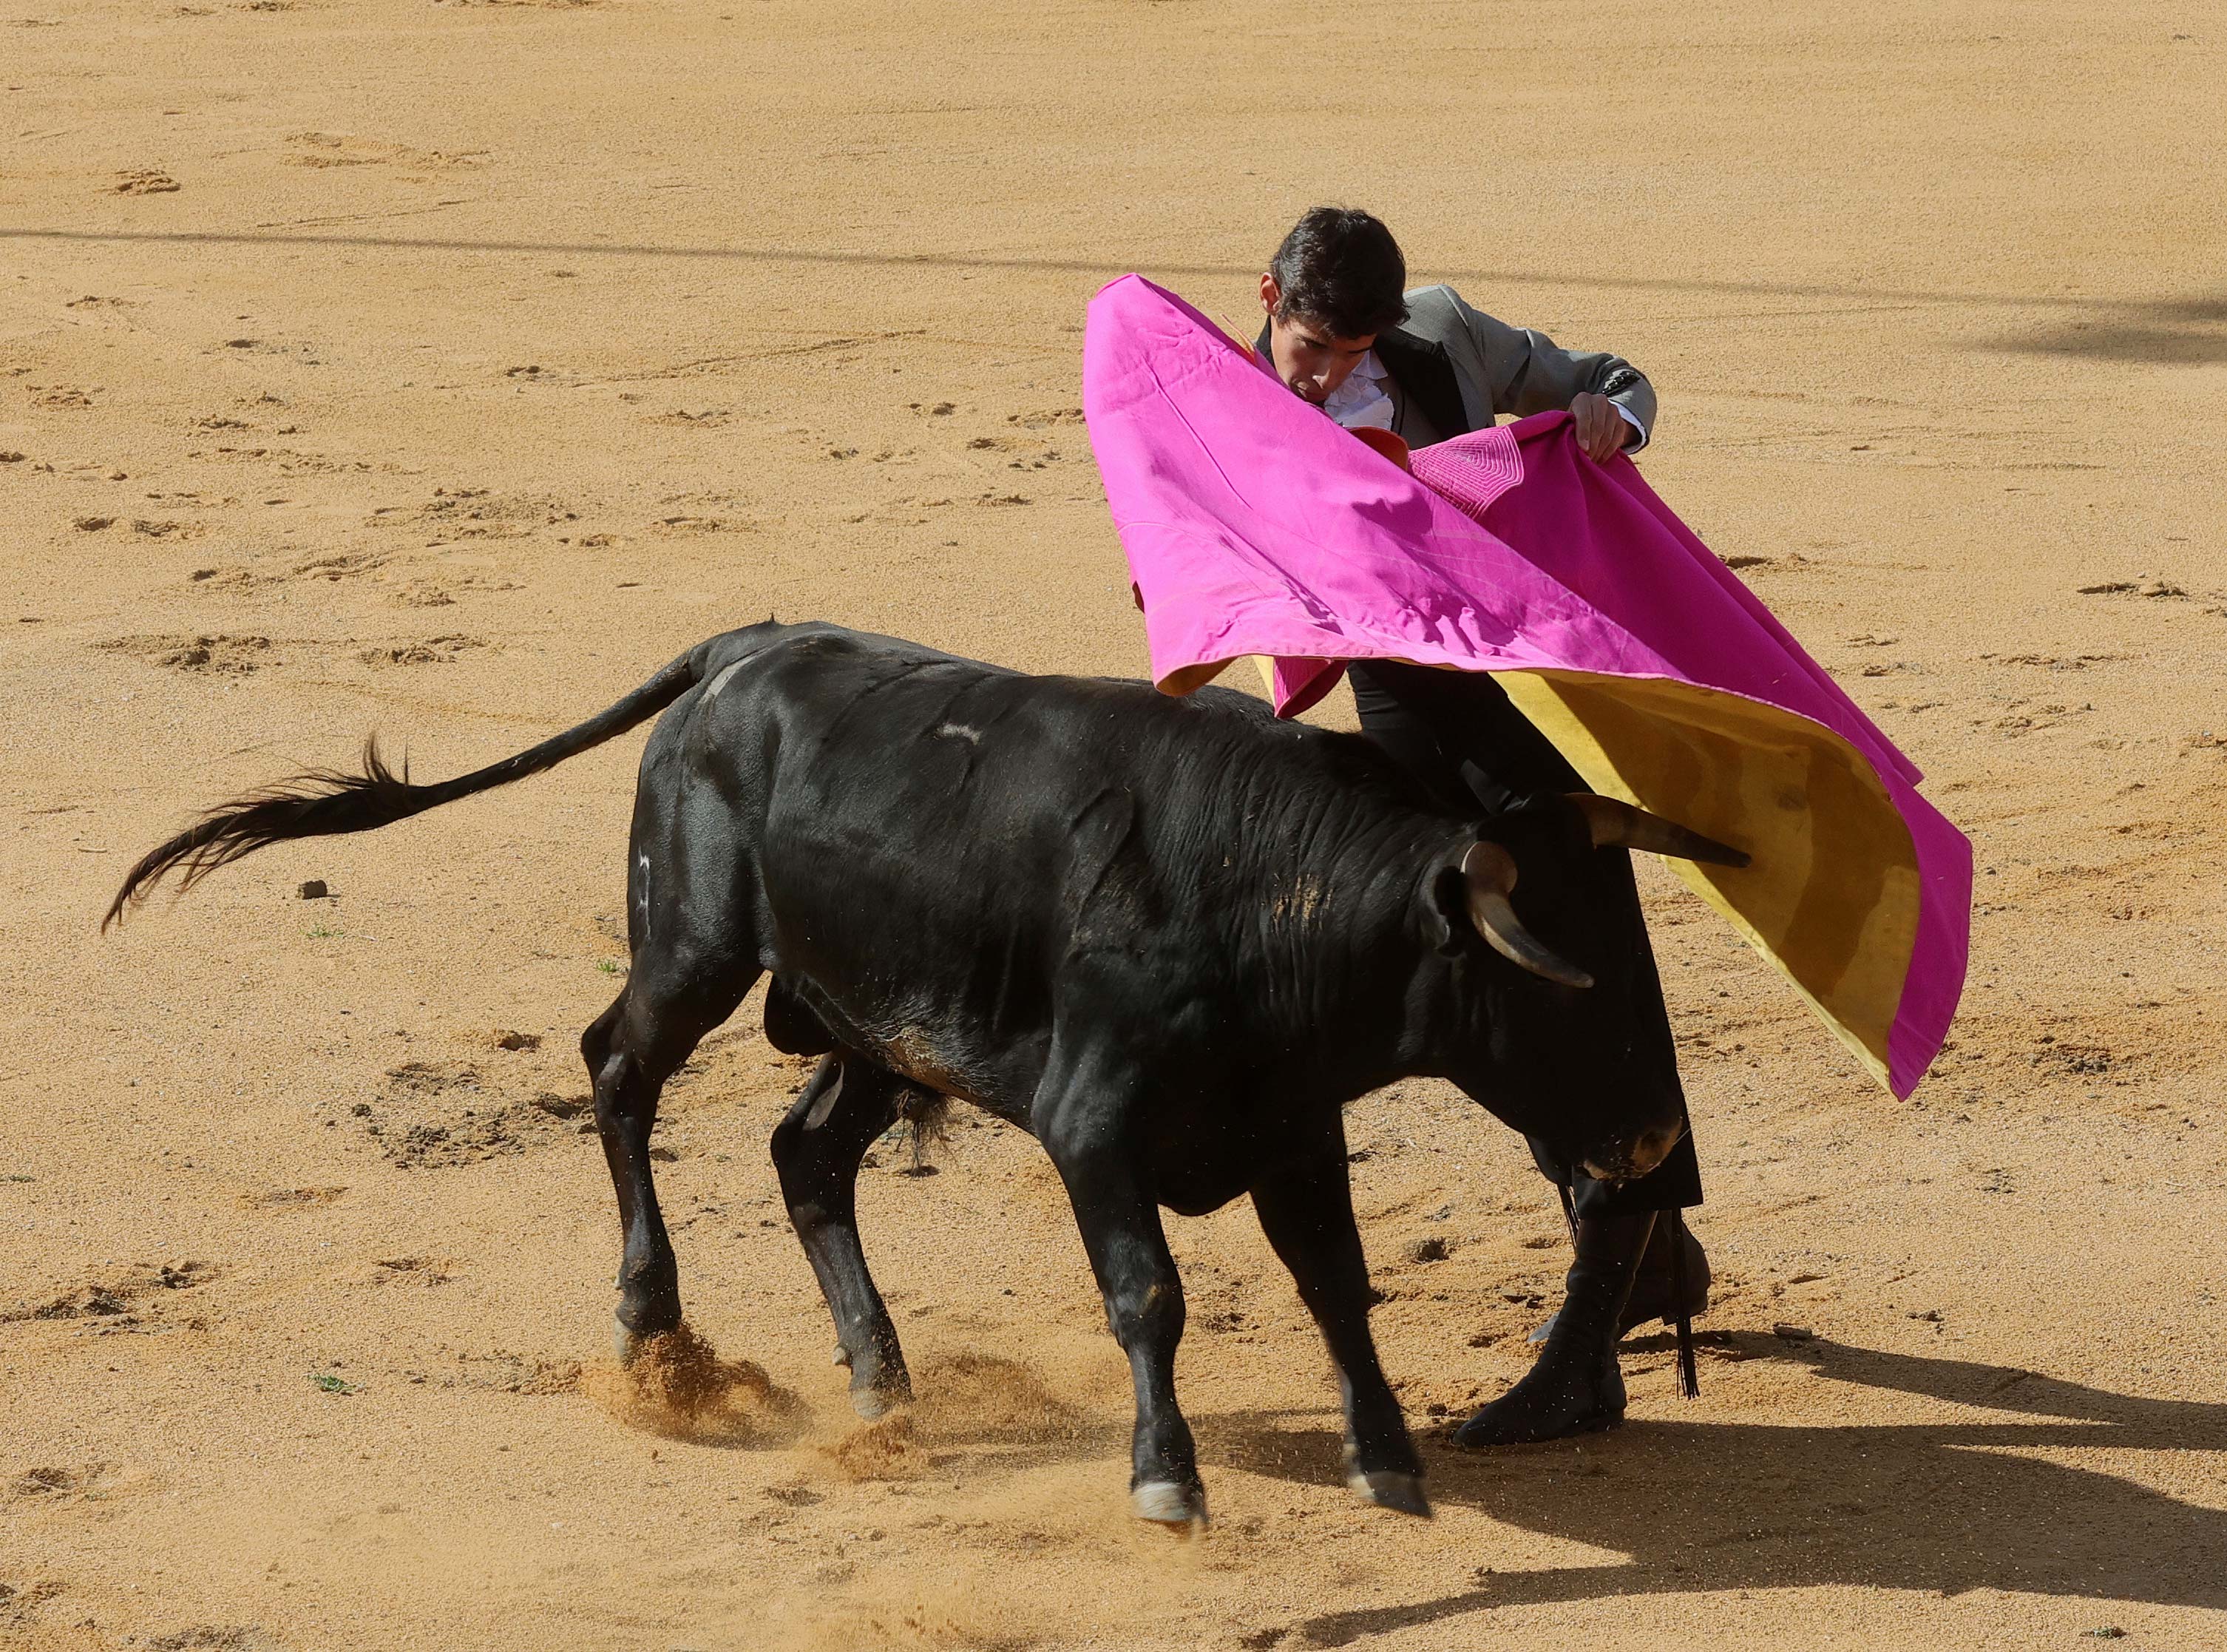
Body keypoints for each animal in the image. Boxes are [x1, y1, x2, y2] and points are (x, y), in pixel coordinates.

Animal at [108, 628, 1737, 1531]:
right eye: (1547, 985)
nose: (1652, 1130)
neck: (1266, 884)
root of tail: (743, 648)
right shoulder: (1095, 1129)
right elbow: (1148, 1292)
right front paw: (1167, 1477)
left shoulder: (1290, 1132)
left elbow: (1339, 1286)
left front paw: (1389, 1458)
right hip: (695, 942)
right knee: (617, 1068)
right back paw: (654, 1325)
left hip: (871, 1027)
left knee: (806, 1154)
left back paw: (882, 1377)